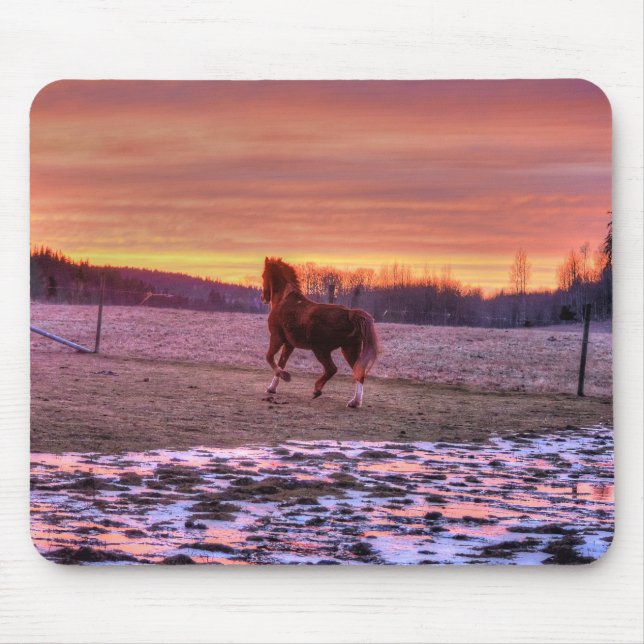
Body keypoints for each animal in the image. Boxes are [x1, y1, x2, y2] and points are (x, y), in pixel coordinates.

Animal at [261, 257, 379, 408]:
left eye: (263, 275)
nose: (263, 298)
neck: (284, 300)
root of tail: (350, 314)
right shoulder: (289, 344)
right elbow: (281, 362)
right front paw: (272, 388)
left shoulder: (276, 337)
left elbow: (269, 357)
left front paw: (285, 377)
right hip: (349, 349)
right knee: (359, 372)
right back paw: (354, 402)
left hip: (321, 350)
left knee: (332, 369)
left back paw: (317, 390)